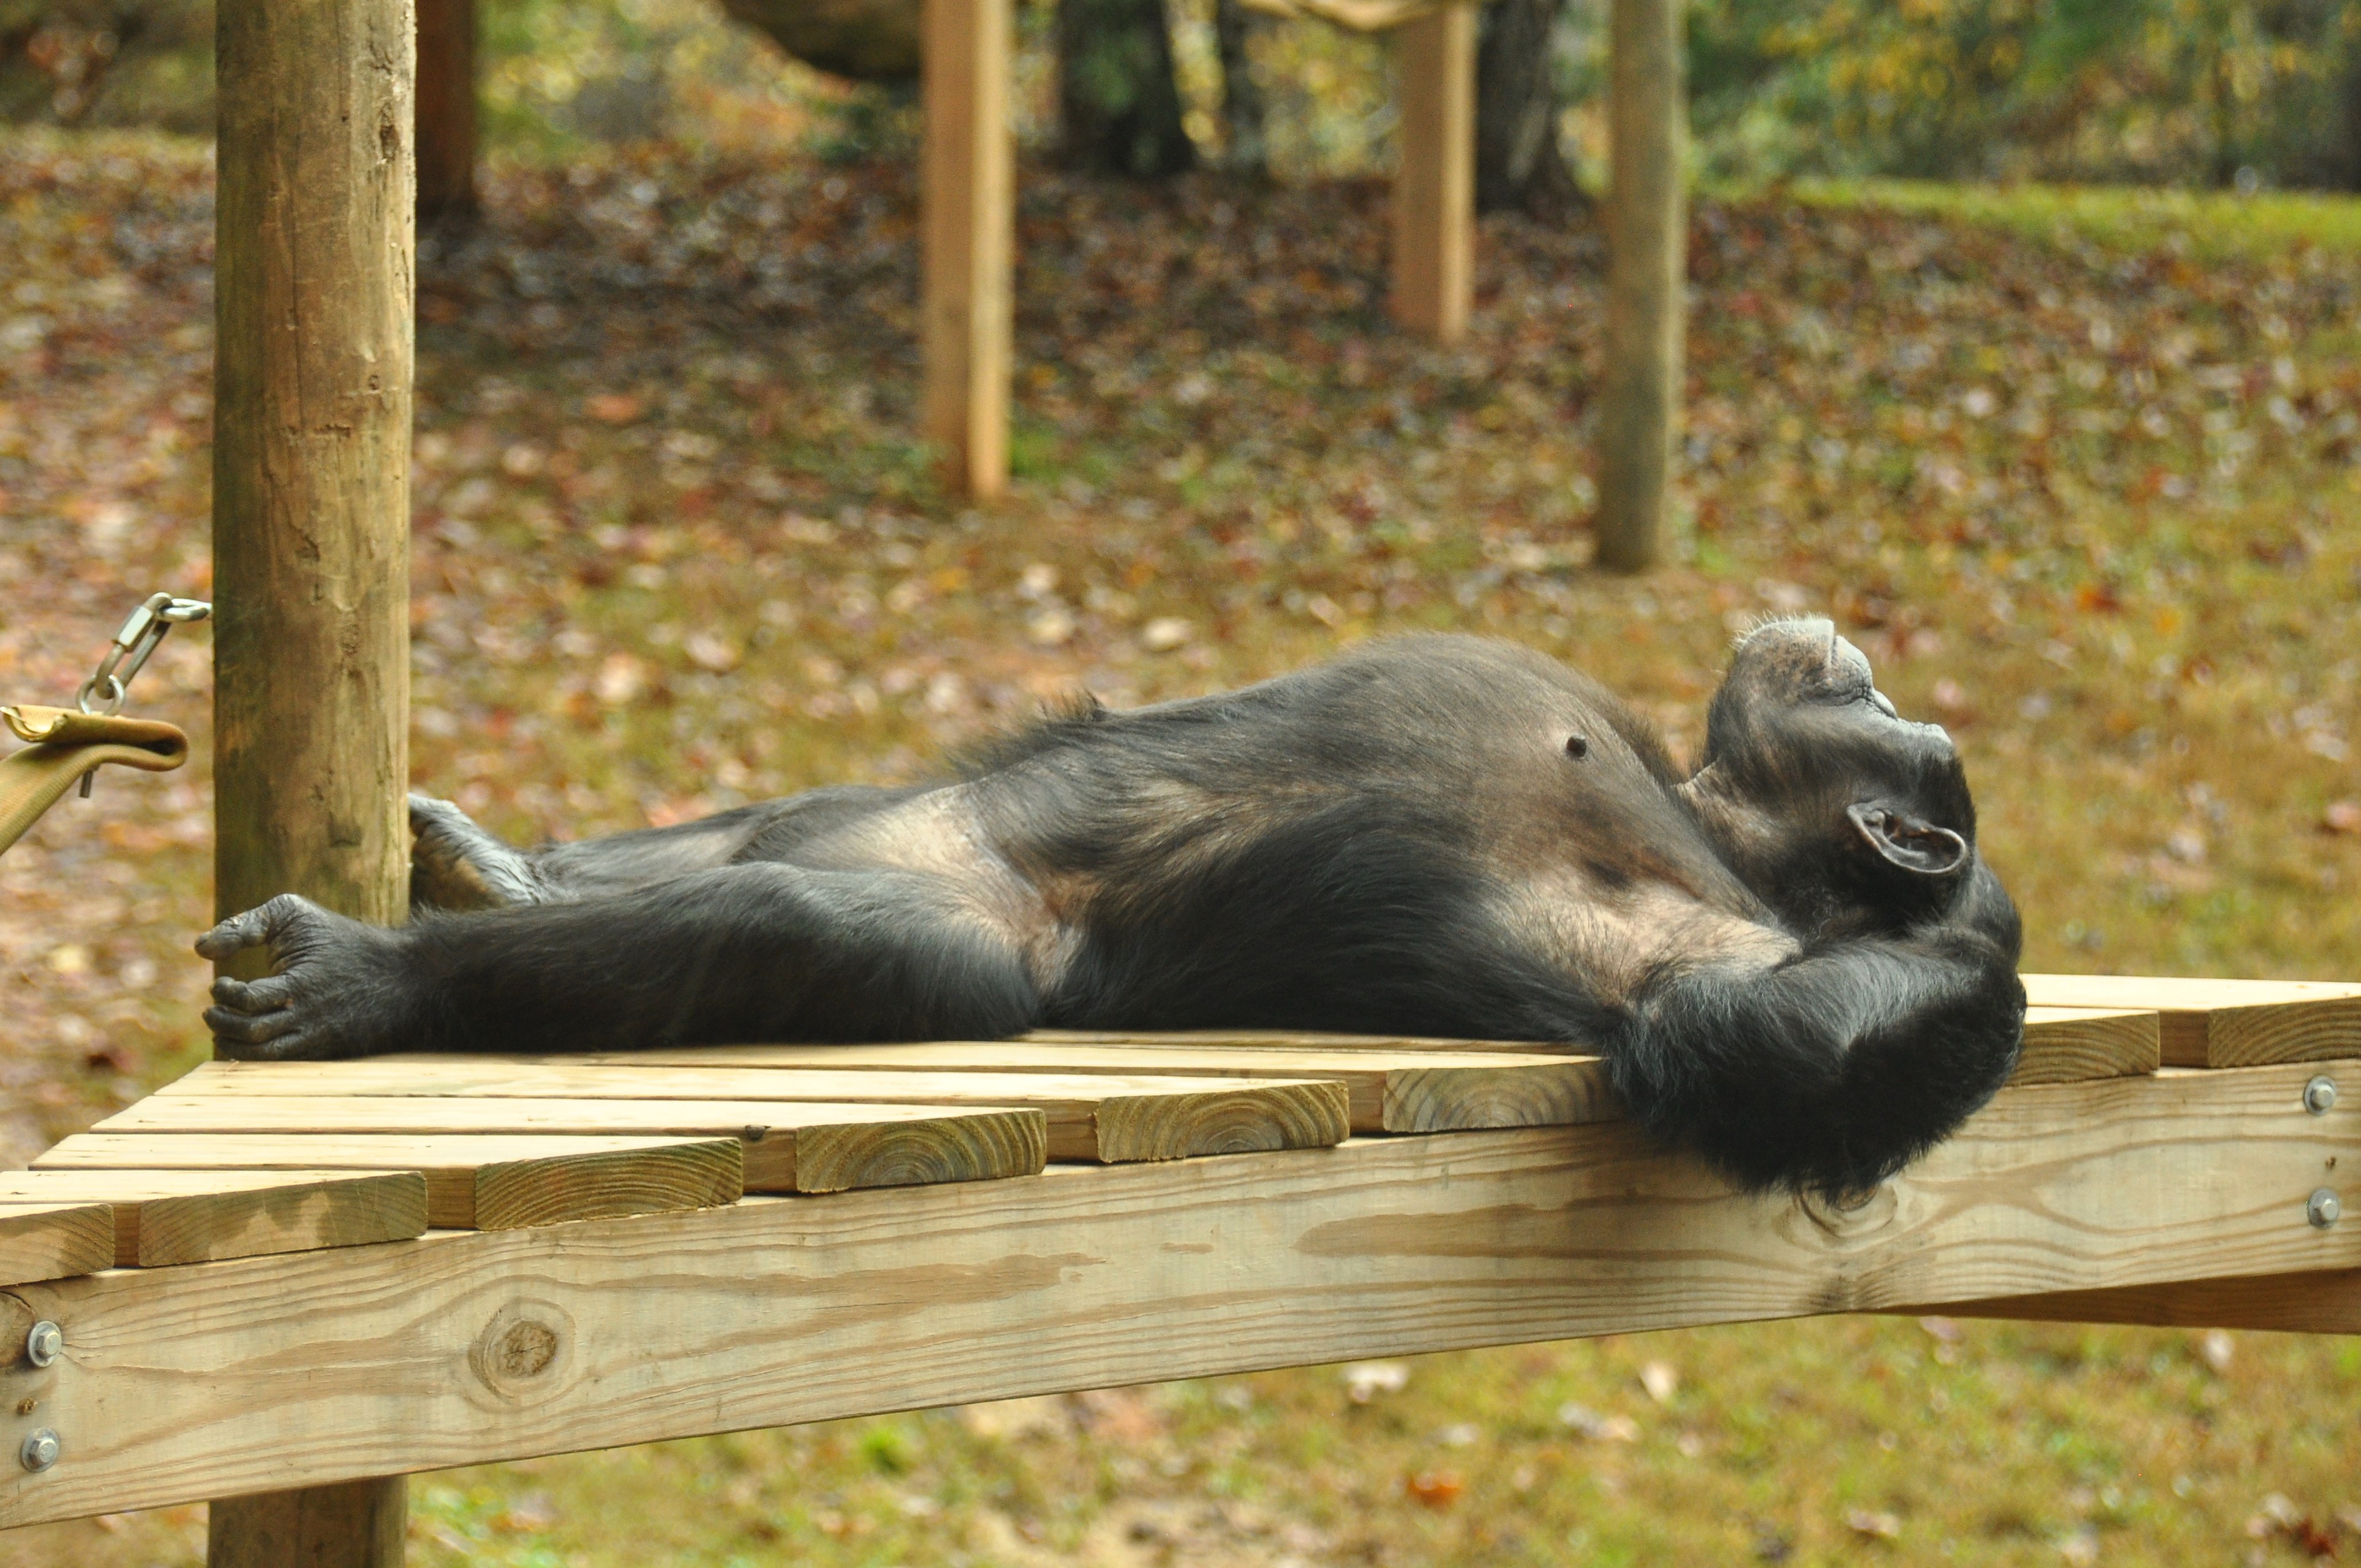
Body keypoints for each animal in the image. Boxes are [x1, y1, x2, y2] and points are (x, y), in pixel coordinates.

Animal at [199, 618, 2026, 1195]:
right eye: (1881, 697)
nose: (1858, 654)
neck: (1719, 835)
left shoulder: (1718, 954)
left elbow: (1808, 1055)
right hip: (891, 817)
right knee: (763, 843)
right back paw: (499, 873)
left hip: (945, 938)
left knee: (775, 923)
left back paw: (367, 978)